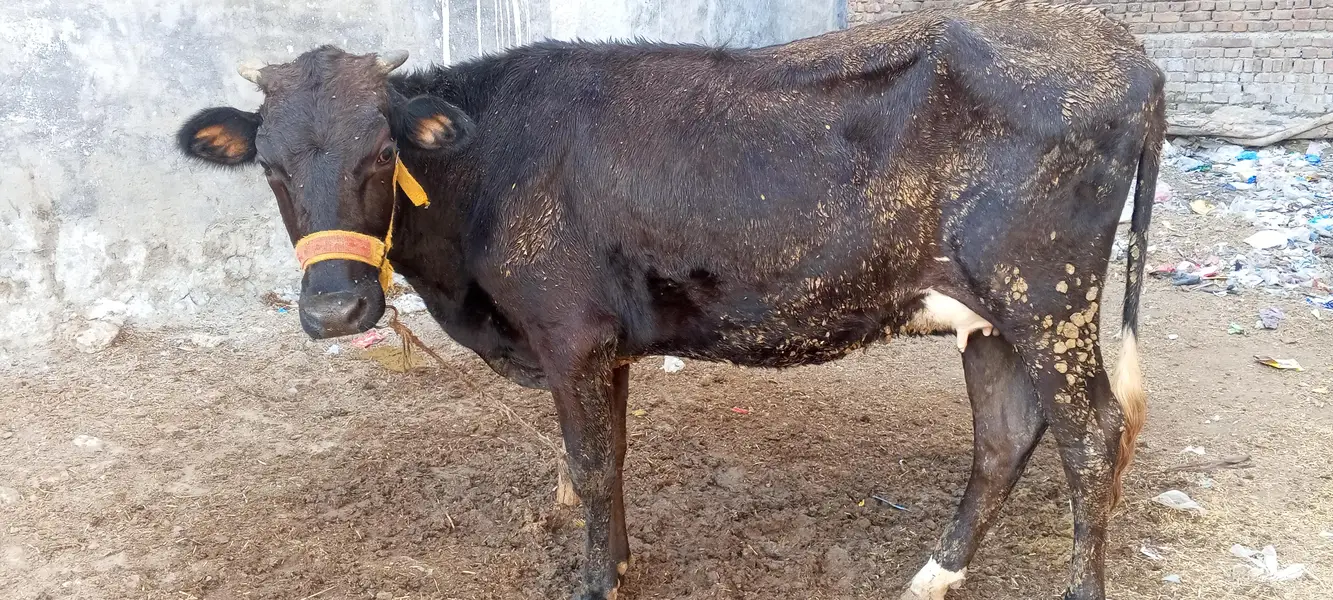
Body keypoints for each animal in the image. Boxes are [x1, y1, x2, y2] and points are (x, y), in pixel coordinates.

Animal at [175, 2, 1163, 598]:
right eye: (269, 164)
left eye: (382, 153)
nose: (334, 313)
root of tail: (1125, 51)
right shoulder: (602, 340)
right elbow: (611, 459)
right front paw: (615, 565)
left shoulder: (568, 333)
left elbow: (588, 467)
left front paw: (591, 582)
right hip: (992, 313)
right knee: (1004, 435)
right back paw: (931, 575)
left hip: (1047, 296)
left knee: (1091, 437)